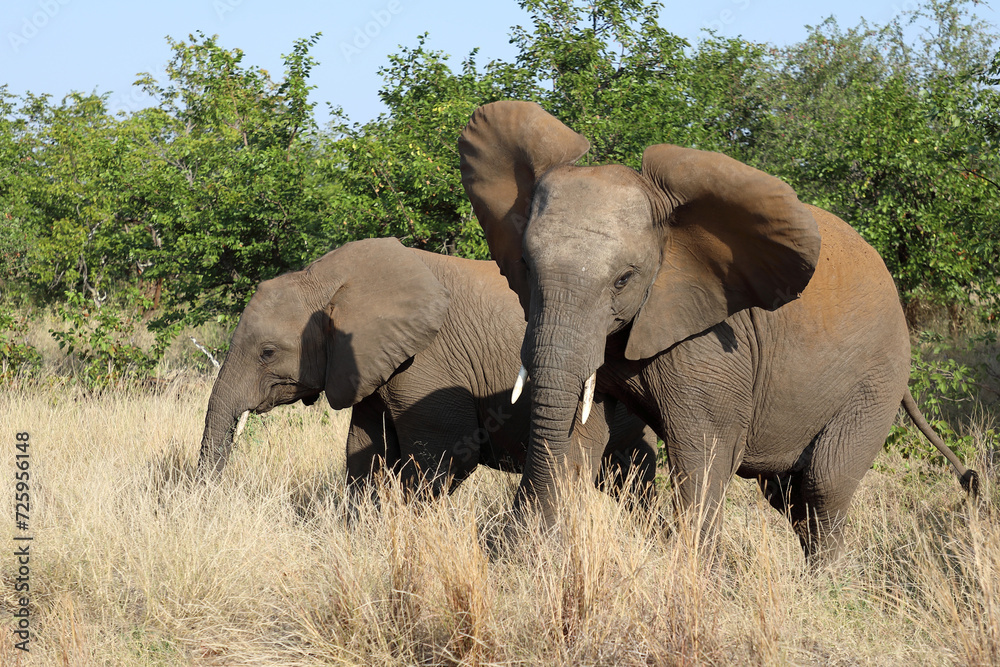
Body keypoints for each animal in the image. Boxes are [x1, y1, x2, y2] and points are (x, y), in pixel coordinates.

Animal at [198, 237, 660, 504]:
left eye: (267, 353)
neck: (327, 279)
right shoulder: (371, 364)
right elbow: (365, 451)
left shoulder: (427, 361)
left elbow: (445, 453)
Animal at [458, 98, 976, 560]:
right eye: (526, 266)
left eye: (624, 279)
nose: (503, 540)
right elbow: (579, 437)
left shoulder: (712, 345)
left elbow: (702, 452)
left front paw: (692, 575)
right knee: (789, 495)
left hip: (876, 380)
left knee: (824, 485)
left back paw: (824, 585)